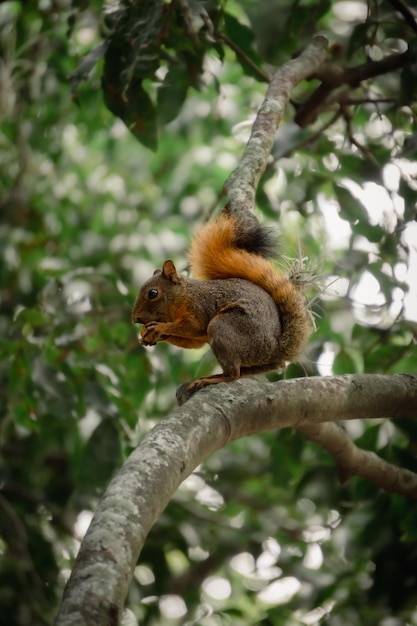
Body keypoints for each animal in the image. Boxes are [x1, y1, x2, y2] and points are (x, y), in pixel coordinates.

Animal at [132, 212, 310, 392]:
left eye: (153, 293)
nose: (135, 318)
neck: (183, 295)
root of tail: (276, 349)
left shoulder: (199, 308)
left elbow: (192, 327)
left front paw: (159, 328)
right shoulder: (197, 337)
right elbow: (193, 343)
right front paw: (149, 334)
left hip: (224, 327)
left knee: (234, 374)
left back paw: (210, 379)